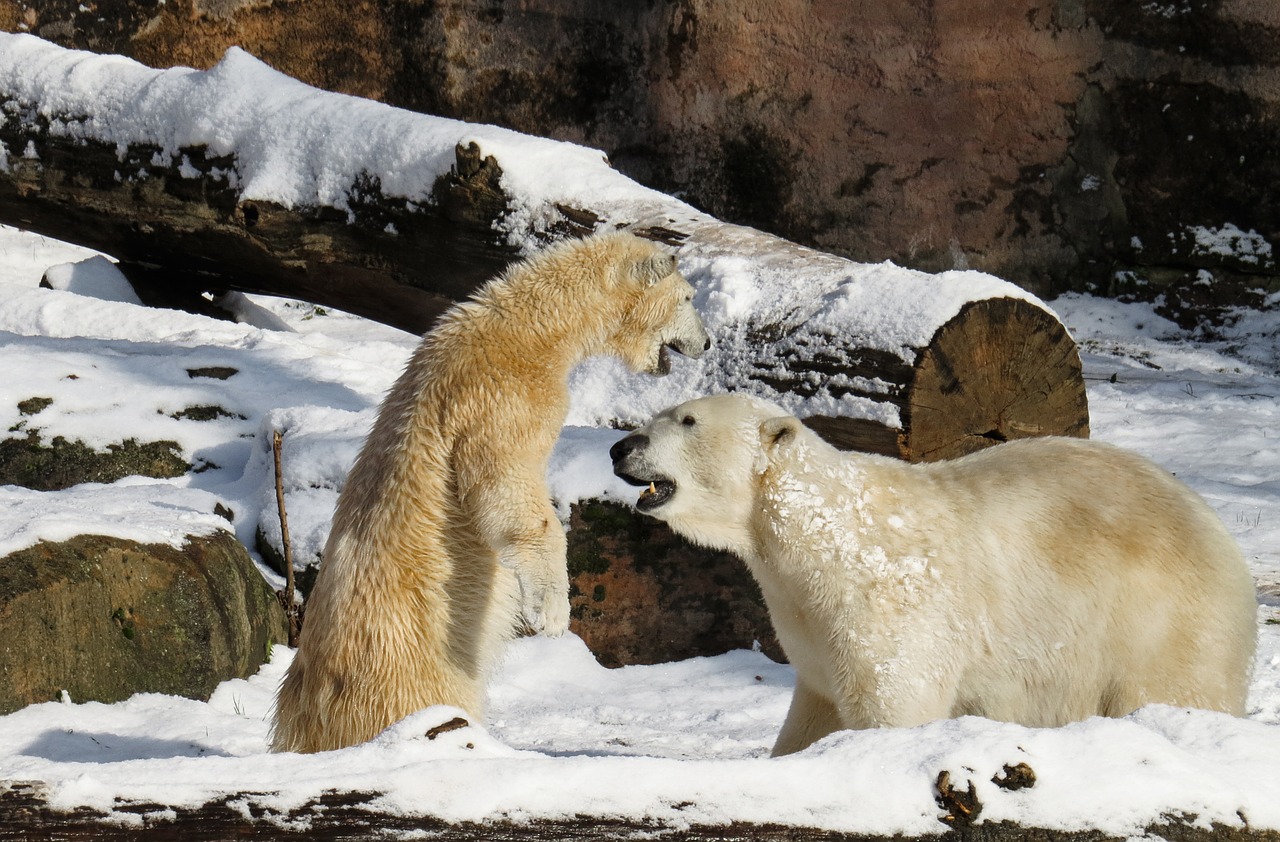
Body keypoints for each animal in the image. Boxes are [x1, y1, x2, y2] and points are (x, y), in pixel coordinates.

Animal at [271, 231, 711, 752]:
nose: (707, 341)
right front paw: (552, 613)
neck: (531, 329)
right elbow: (508, 492)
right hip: (414, 662)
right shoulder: (501, 399)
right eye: (689, 298)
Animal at [611, 391, 1259, 752]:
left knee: (1173, 689)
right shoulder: (807, 619)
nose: (621, 447)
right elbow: (815, 709)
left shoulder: (887, 604)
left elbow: (892, 702)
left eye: (687, 421)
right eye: (660, 414)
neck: (819, 532)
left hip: (1160, 620)